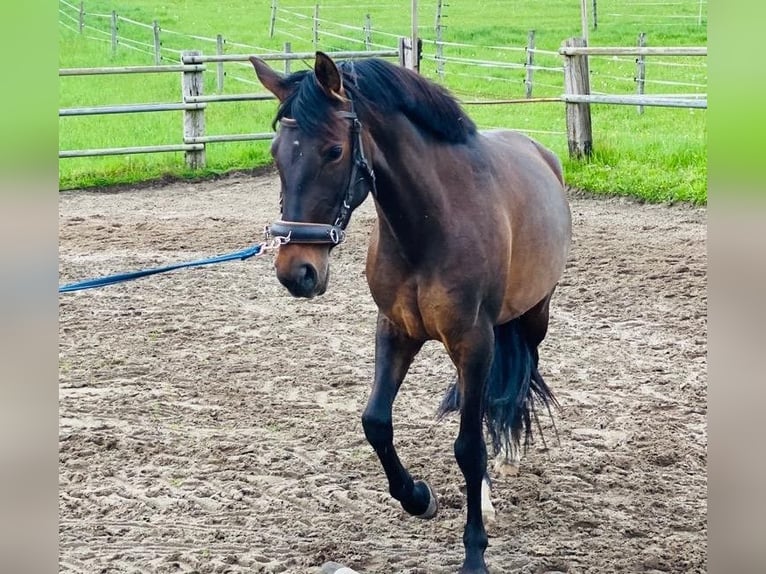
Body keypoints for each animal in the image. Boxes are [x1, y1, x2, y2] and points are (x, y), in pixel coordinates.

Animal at [249, 51, 572, 572]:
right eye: (277, 153)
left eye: (334, 151)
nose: (296, 271)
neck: (431, 222)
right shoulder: (396, 331)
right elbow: (376, 422)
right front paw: (419, 497)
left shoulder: (473, 341)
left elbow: (468, 446)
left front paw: (474, 553)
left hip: (532, 318)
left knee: (516, 382)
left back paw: (506, 457)